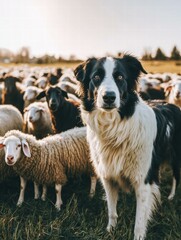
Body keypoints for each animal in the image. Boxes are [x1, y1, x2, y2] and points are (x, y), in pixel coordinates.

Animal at [74, 55, 181, 239]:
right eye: (96, 77)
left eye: (120, 77)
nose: (109, 97)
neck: (114, 126)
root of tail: (173, 105)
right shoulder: (107, 175)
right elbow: (111, 210)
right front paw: (110, 230)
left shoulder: (143, 180)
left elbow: (139, 220)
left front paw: (138, 236)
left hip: (175, 155)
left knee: (175, 176)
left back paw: (172, 196)